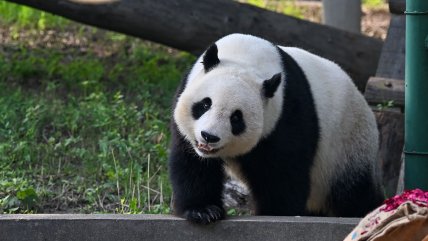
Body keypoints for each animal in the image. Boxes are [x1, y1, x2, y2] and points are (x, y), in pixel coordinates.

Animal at [167, 33, 384, 224]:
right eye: (205, 104)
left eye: (236, 118)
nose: (209, 137)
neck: (245, 57)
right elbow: (193, 165)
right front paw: (204, 211)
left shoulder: (286, 115)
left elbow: (283, 174)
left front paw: (275, 214)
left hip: (348, 145)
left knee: (354, 192)